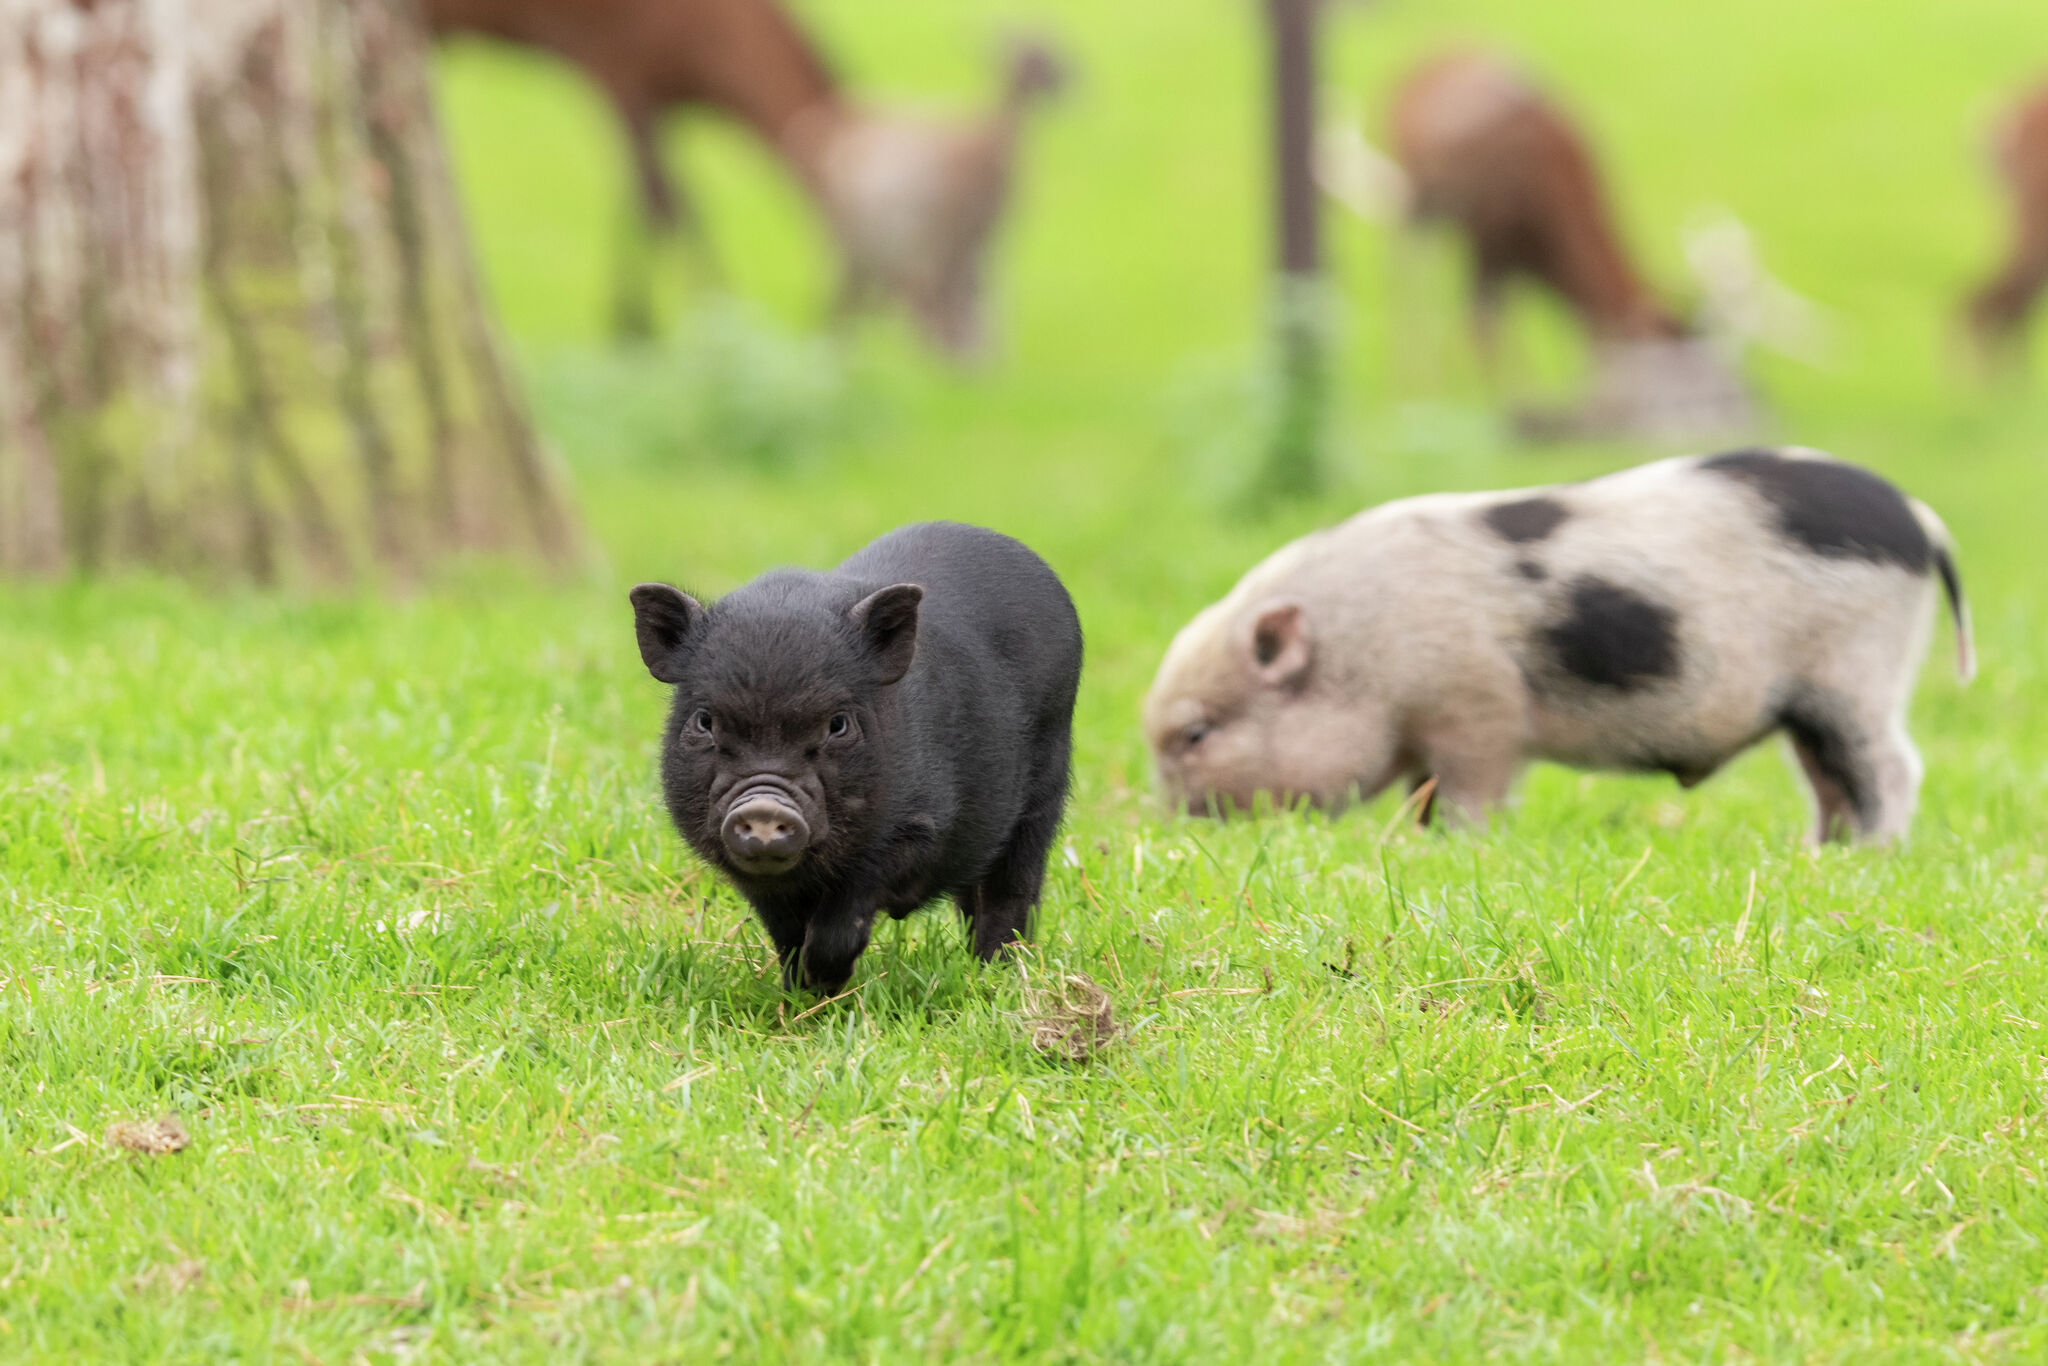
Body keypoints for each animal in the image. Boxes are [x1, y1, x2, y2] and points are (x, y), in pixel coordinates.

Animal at [631, 522, 1083, 993]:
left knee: (1014, 888)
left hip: (1047, 779)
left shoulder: (919, 829)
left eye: (838, 724)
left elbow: (848, 910)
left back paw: (998, 974)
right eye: (704, 721)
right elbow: (786, 932)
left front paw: (825, 980)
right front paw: (802, 993)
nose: (764, 806)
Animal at [1143, 448, 1974, 843]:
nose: (1174, 827)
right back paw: (1819, 854)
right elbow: (1424, 791)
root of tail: (1918, 518)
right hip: (1812, 702)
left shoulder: (1476, 708)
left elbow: (1470, 791)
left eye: (1196, 733)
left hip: (1857, 669)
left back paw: (1874, 854)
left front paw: (1450, 845)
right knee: (1832, 779)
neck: (1365, 650)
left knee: (1892, 766)